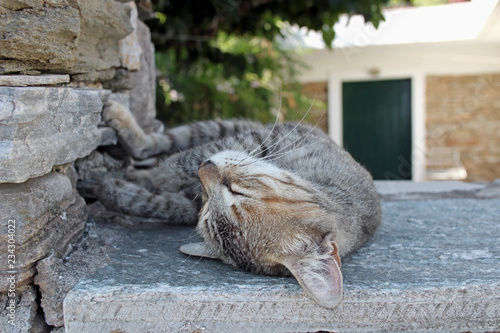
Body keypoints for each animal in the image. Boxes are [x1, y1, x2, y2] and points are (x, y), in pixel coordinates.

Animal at [97, 99, 380, 308]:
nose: (204, 170)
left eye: (236, 192)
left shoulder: (190, 202)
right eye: (208, 207)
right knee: (162, 141)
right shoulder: (276, 134)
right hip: (220, 126)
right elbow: (191, 158)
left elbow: (163, 203)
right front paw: (159, 175)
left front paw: (134, 185)